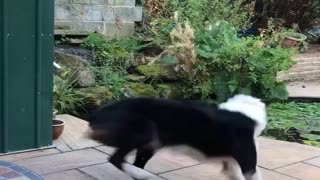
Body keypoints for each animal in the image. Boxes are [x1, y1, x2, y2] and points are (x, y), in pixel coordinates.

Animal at [86, 95, 266, 179]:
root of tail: (98, 112)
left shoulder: (232, 164)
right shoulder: (248, 164)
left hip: (150, 145)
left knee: (134, 161)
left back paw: (139, 174)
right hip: (146, 130)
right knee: (116, 159)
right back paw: (141, 174)